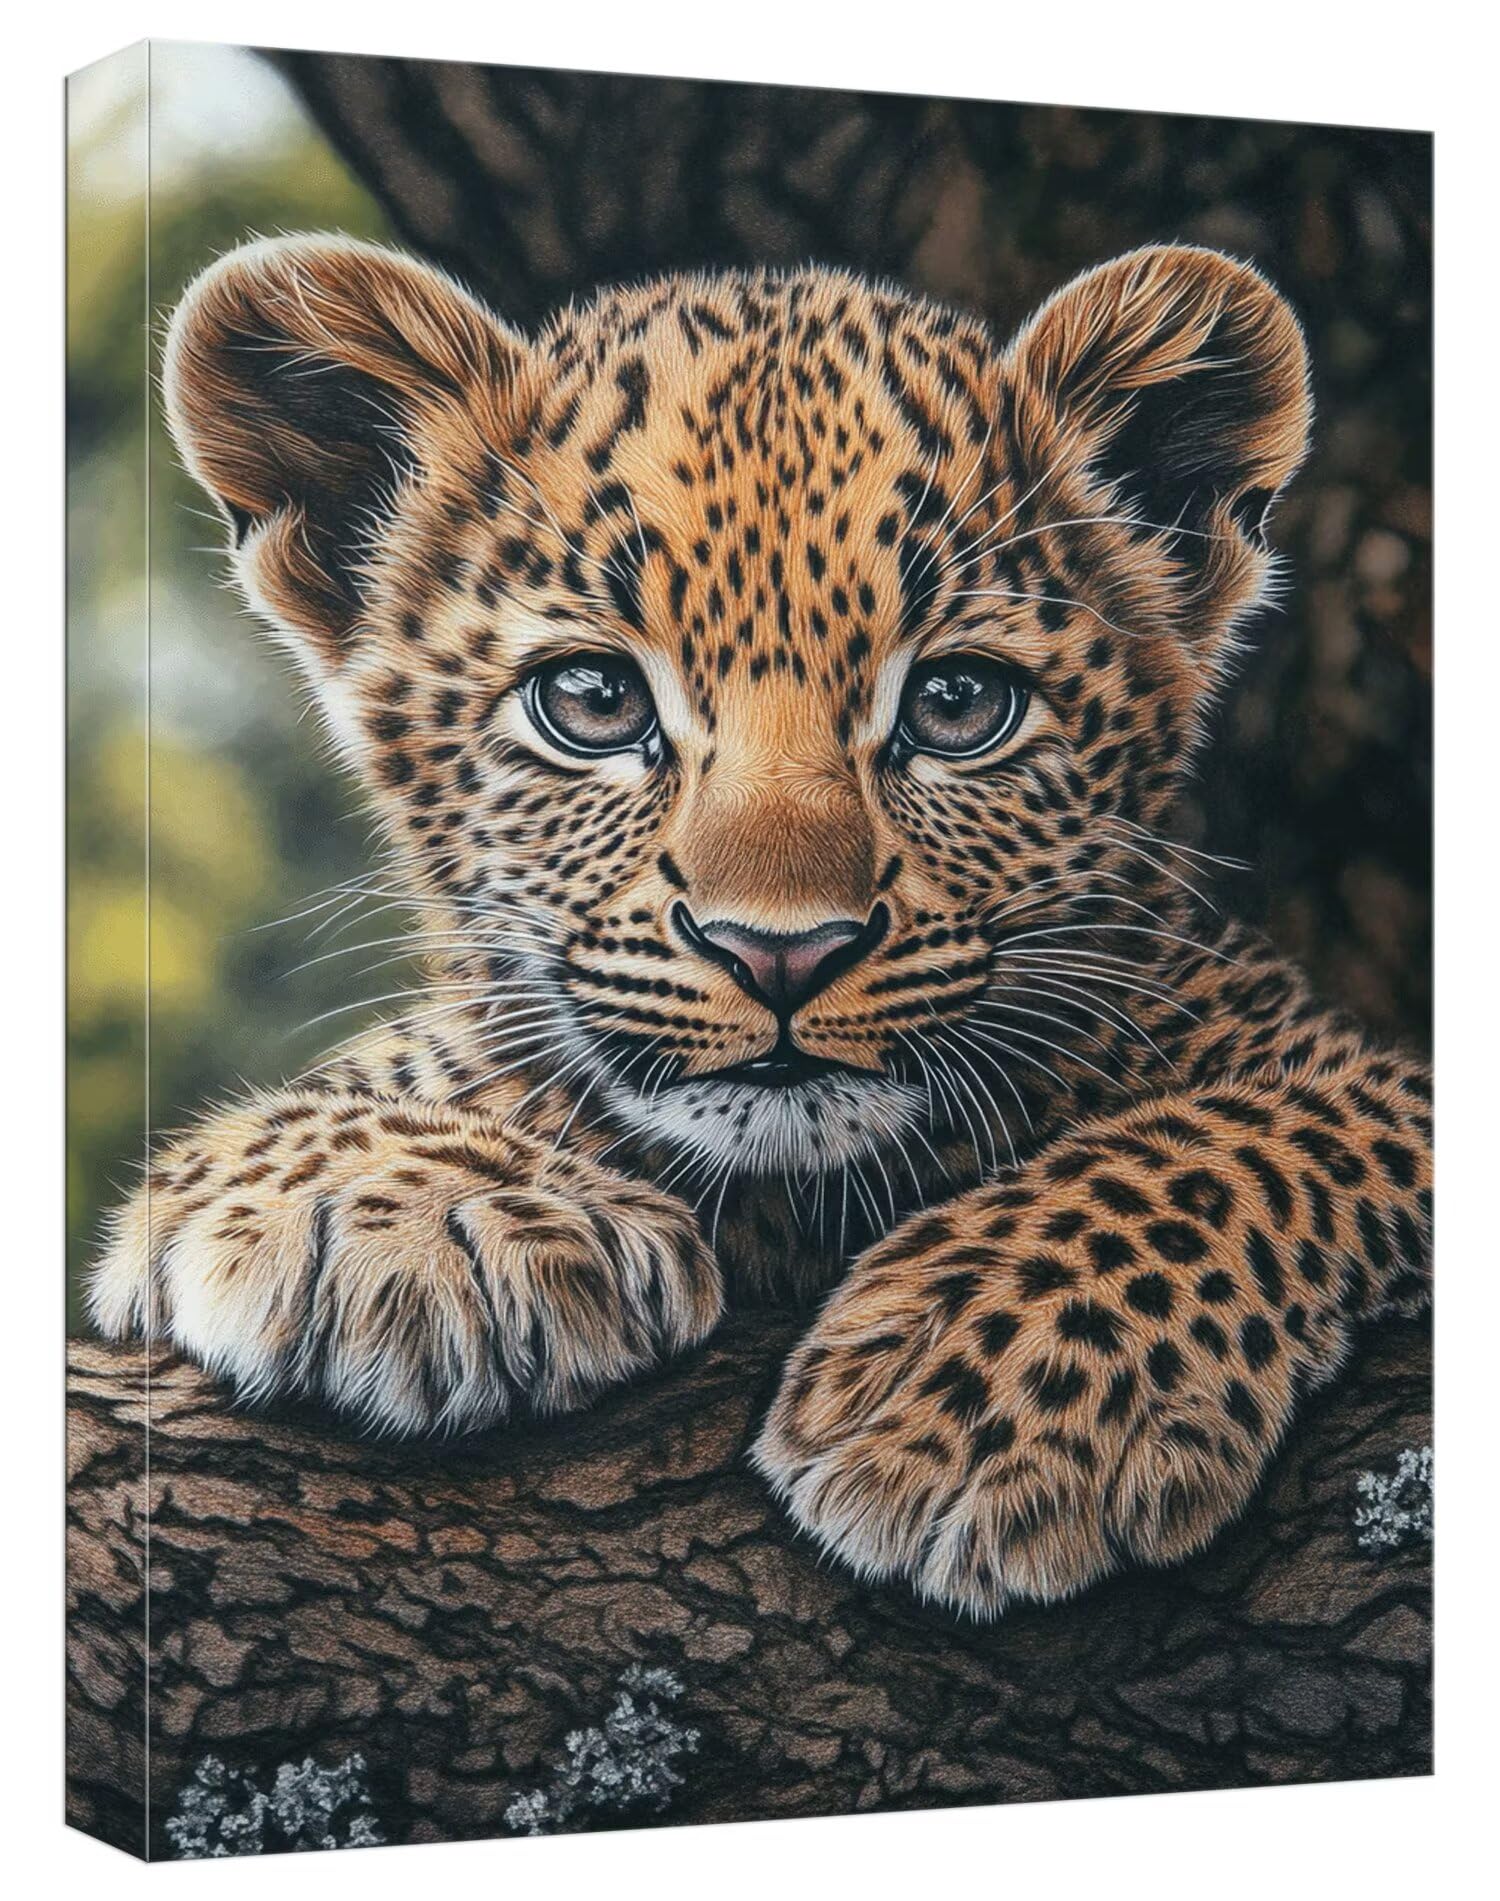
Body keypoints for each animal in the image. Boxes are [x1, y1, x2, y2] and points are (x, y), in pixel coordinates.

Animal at [88, 233, 1432, 1619]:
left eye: (959, 702)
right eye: (591, 697)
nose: (780, 950)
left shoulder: (1356, 1072)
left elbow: (1251, 1131)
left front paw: (980, 1400)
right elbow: (383, 1076)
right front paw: (422, 1214)